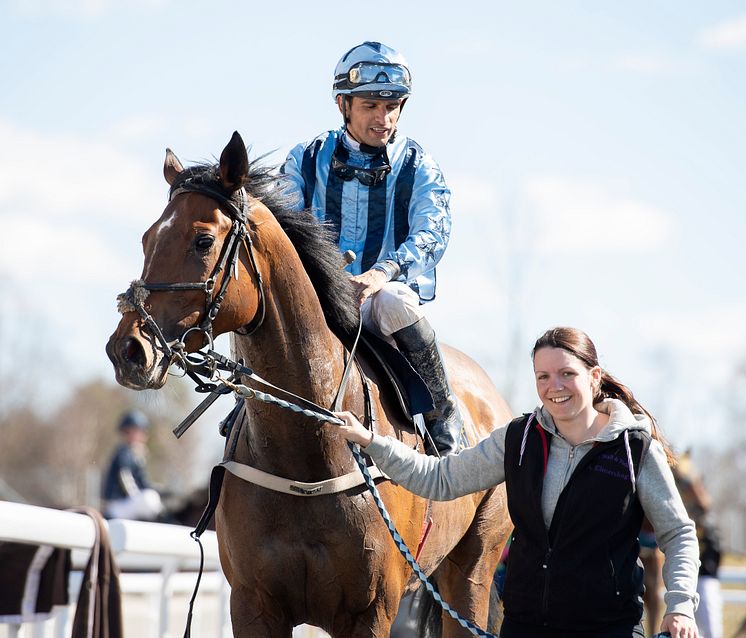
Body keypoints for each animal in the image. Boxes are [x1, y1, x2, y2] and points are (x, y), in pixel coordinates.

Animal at [106, 132, 512, 636]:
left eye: (203, 240)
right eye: (147, 238)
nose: (127, 350)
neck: (307, 451)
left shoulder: (371, 611)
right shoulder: (254, 603)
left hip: (473, 567)